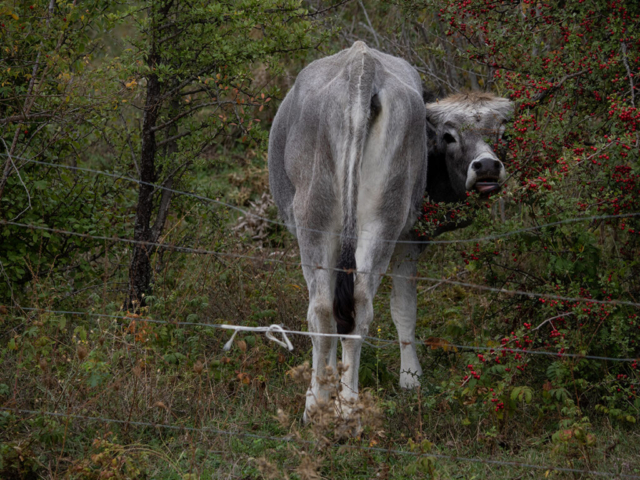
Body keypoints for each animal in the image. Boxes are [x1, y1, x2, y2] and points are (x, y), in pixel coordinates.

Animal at [268, 41, 512, 418]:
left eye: (501, 133)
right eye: (449, 135)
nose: (486, 166)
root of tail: (361, 64)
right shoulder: (409, 241)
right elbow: (401, 308)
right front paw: (409, 379)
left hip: (320, 221)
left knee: (324, 310)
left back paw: (321, 403)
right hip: (371, 222)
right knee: (351, 307)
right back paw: (345, 406)